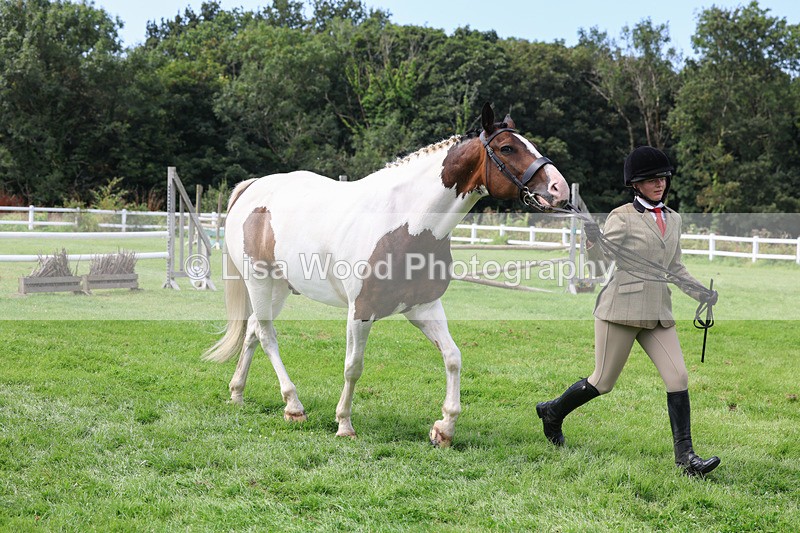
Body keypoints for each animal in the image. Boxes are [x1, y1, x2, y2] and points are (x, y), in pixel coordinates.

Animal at [203, 103, 570, 446]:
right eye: (507, 148)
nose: (560, 189)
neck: (406, 223)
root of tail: (253, 189)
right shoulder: (360, 312)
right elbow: (353, 366)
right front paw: (344, 424)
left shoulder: (424, 308)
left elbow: (453, 357)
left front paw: (444, 428)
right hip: (260, 282)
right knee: (267, 336)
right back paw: (293, 406)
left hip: (279, 289)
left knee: (253, 331)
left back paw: (238, 392)